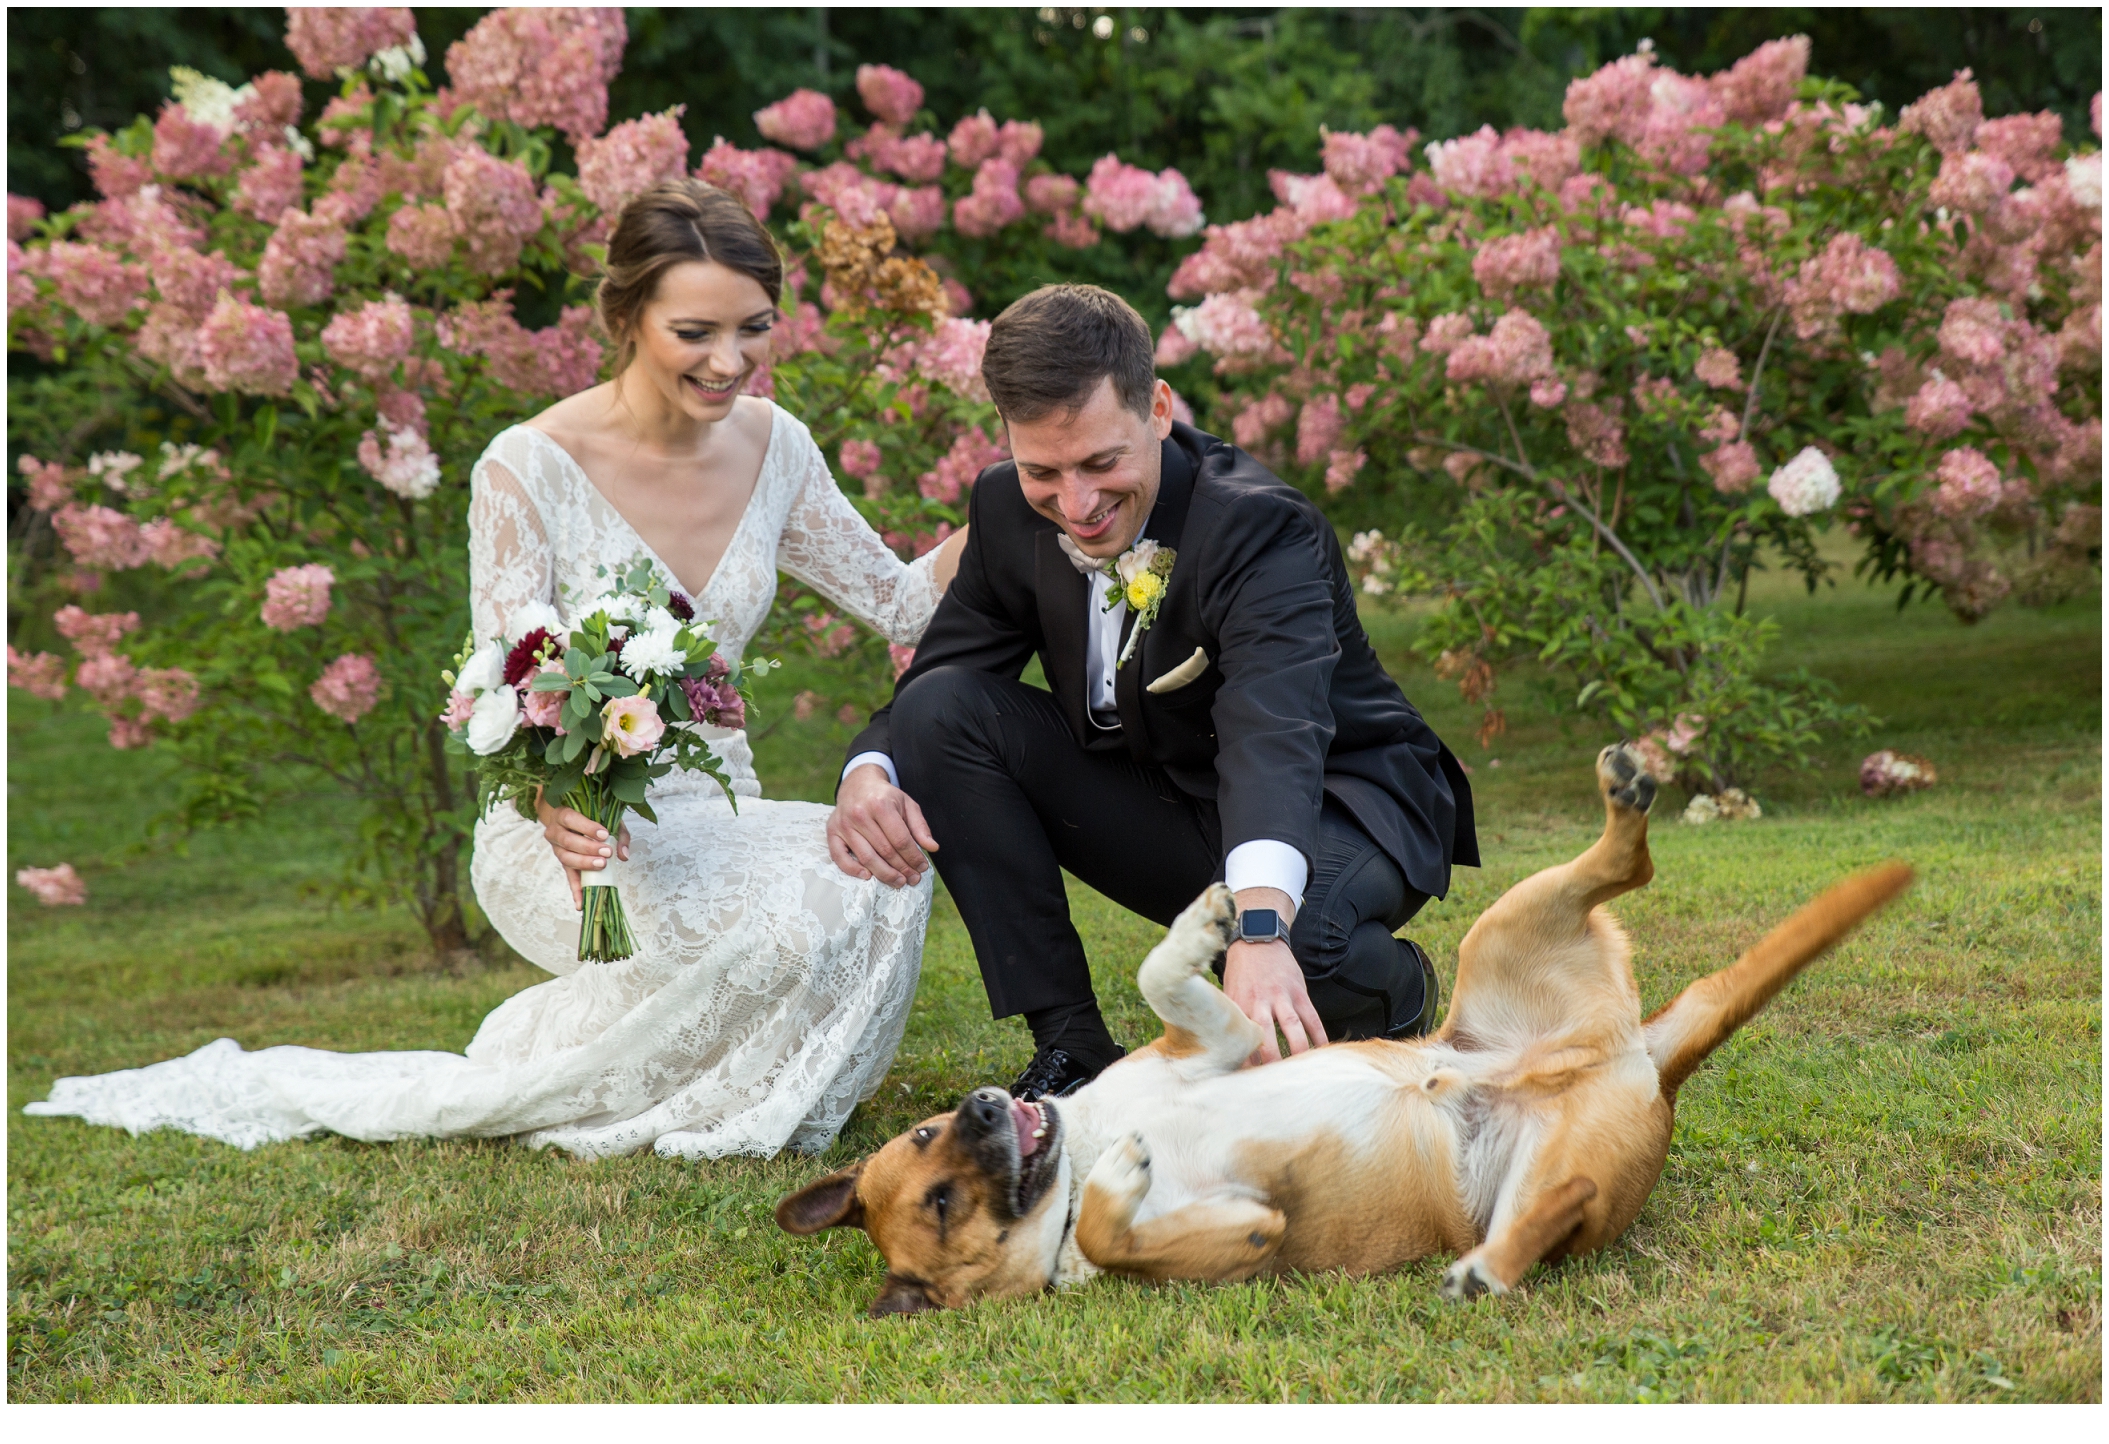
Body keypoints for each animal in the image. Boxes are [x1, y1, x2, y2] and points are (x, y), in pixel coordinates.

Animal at [776, 750, 1914, 1315]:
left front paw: (1209, 922)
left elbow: (1163, 975)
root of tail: (1643, 1062)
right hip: (1550, 1169)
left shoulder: (1216, 1043)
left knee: (1620, 864)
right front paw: (1124, 1193)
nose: (981, 1107)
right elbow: (1111, 1233)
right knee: (1557, 1208)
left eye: (923, 1134)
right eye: (938, 1197)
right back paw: (1487, 1270)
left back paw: (1626, 791)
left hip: (1509, 920)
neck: (1071, 1160)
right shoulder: (1205, 1250)